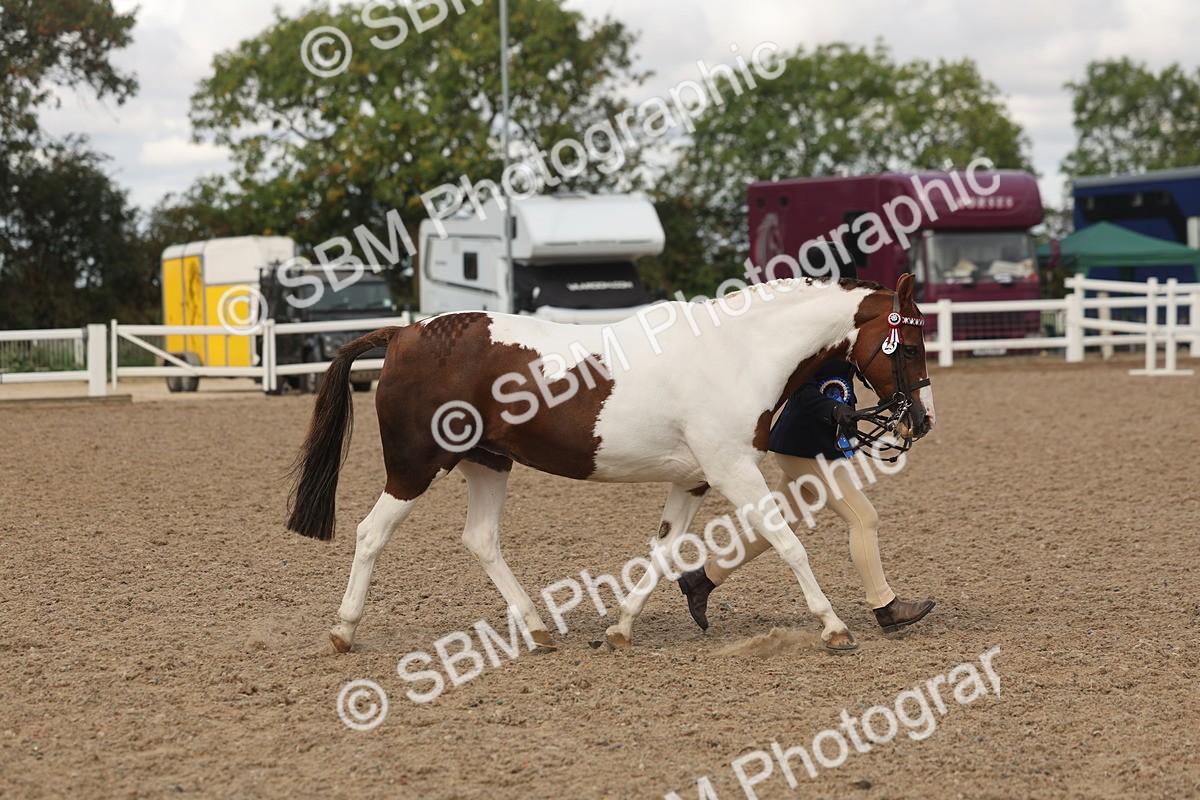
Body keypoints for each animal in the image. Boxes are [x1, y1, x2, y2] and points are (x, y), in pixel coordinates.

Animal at [288, 273, 935, 653]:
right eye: (911, 341)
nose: (922, 419)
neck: (739, 353)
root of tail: (403, 334)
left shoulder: (695, 480)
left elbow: (664, 552)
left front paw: (620, 628)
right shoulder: (732, 470)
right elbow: (788, 543)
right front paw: (834, 627)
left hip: (488, 463)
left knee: (480, 539)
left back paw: (538, 629)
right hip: (416, 466)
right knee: (371, 533)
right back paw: (343, 631)